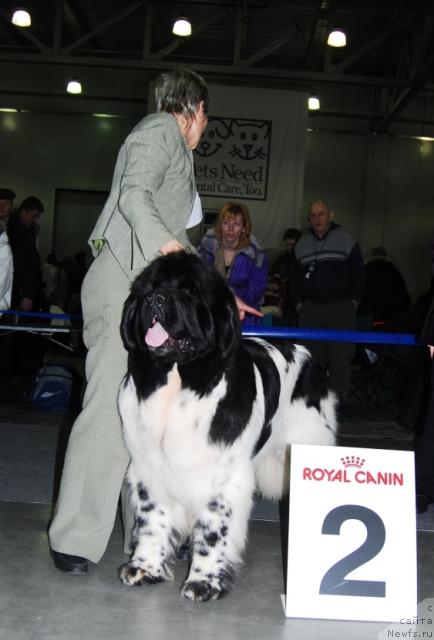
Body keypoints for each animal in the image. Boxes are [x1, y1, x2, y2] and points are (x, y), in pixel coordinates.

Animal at [117, 252, 338, 604]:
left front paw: (203, 582)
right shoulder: (149, 466)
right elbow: (152, 519)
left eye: (191, 292)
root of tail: (308, 356)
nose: (156, 299)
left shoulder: (222, 477)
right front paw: (145, 568)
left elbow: (213, 531)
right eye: (149, 288)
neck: (178, 382)